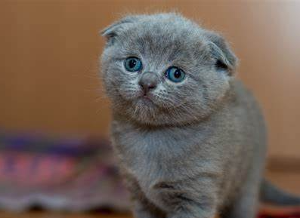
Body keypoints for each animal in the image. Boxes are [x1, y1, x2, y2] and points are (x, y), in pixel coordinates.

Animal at [99, 13, 300, 218]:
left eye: (176, 74)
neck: (151, 136)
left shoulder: (196, 192)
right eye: (132, 63)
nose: (147, 82)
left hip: (246, 179)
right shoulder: (138, 192)